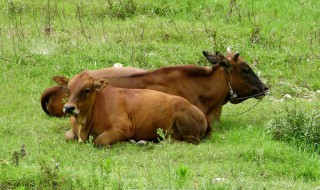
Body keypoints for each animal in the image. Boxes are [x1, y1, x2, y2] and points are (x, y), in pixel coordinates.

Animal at [55, 72, 210, 145]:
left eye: (87, 90)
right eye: (68, 89)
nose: (69, 108)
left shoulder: (123, 128)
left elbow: (99, 140)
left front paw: (126, 141)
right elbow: (68, 136)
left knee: (187, 141)